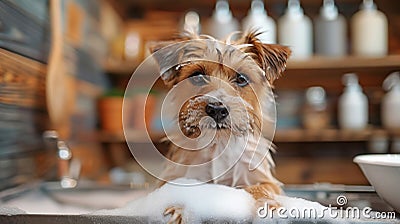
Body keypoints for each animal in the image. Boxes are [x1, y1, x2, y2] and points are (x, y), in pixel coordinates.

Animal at [150, 31, 290, 222]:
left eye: (241, 78)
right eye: (197, 76)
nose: (217, 109)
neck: (218, 145)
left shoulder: (264, 180)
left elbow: (260, 188)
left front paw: (269, 207)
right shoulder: (176, 177)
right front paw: (179, 208)